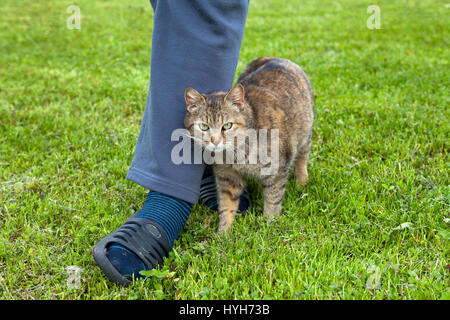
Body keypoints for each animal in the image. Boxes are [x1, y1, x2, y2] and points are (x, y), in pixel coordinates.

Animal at [183, 57, 312, 232]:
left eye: (227, 126)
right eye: (204, 127)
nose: (215, 140)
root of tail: (275, 58)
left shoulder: (276, 170)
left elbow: (273, 200)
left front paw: (270, 225)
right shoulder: (227, 177)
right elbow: (227, 206)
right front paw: (223, 232)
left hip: (305, 134)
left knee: (302, 158)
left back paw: (302, 182)